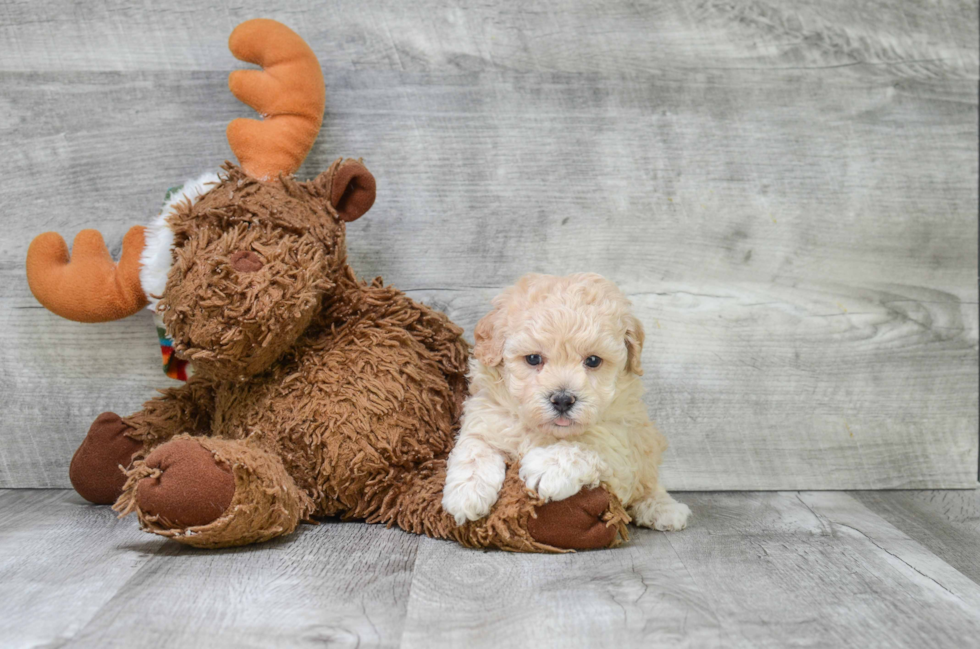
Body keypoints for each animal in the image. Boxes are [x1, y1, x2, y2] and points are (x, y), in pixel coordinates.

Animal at [444, 272, 688, 532]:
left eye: (593, 361)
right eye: (533, 358)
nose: (562, 400)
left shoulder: (622, 447)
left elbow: (589, 447)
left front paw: (548, 466)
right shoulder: (486, 419)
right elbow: (474, 449)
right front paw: (466, 493)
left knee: (648, 483)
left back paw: (663, 508)